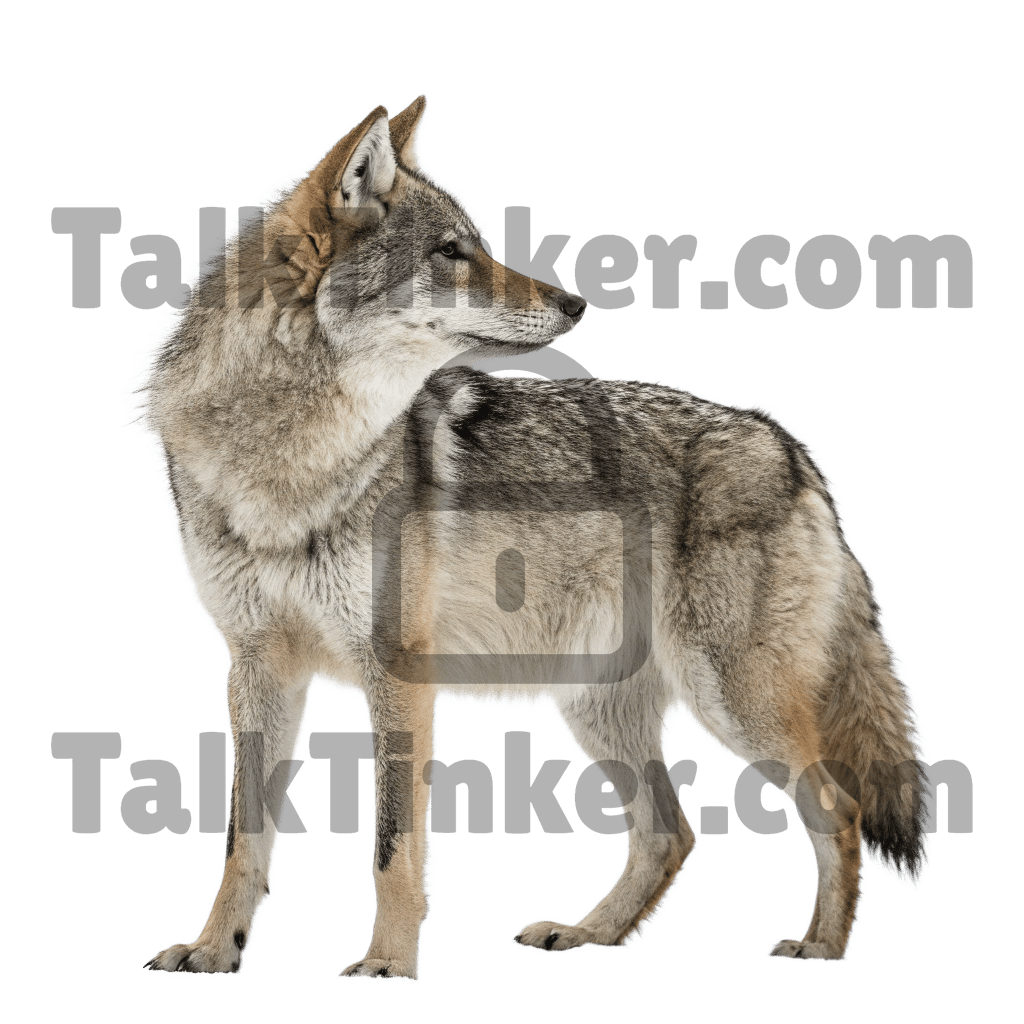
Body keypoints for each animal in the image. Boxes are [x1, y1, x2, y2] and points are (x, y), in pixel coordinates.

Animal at [124, 93, 934, 980]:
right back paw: (589, 935)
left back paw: (821, 946)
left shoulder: (396, 677)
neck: (290, 459)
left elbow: (393, 848)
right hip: (599, 707)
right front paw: (215, 951)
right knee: (671, 833)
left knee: (836, 808)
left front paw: (387, 966)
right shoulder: (255, 667)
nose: (577, 302)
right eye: (450, 253)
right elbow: (244, 841)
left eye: (479, 242)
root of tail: (788, 441)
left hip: (733, 703)